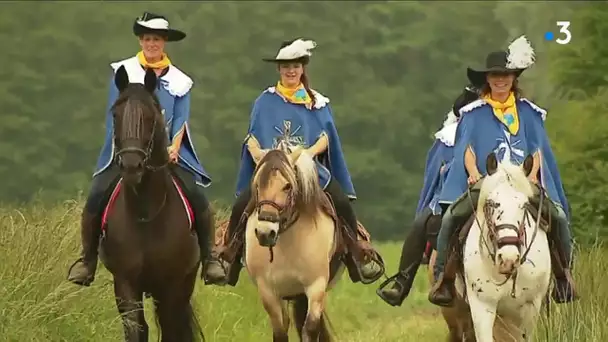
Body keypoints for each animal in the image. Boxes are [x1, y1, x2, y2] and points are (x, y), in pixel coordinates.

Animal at [100, 65, 204, 342]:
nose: (131, 166)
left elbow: (171, 329)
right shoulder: (125, 283)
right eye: (115, 115)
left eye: (149, 116)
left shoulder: (171, 286)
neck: (146, 212)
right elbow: (136, 329)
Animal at [428, 154, 552, 340]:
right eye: (492, 203)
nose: (508, 259)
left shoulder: (531, 307)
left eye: (524, 204)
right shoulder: (482, 306)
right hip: (455, 313)